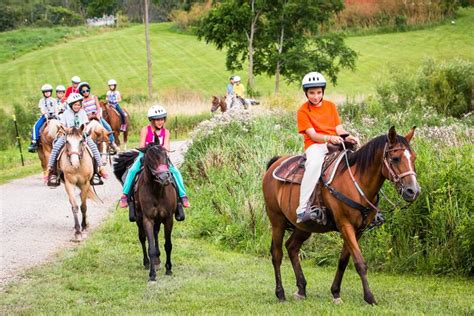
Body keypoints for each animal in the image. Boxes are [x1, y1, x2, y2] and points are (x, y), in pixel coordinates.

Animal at [113, 143, 178, 282]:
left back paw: (158, 261)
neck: (157, 191)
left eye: (165, 156)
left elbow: (168, 244)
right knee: (143, 238)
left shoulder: (168, 219)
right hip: (140, 219)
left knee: (155, 234)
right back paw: (147, 262)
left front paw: (168, 269)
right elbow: (150, 248)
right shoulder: (147, 219)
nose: (165, 177)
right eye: (150, 159)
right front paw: (152, 274)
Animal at [262, 126, 422, 304]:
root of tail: (276, 163)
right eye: (395, 158)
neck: (357, 182)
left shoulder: (358, 230)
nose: (413, 191)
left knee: (292, 247)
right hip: (277, 221)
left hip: (304, 226)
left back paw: (301, 289)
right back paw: (280, 293)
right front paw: (370, 297)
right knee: (277, 254)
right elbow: (359, 261)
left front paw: (336, 293)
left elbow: (344, 260)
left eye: (414, 157)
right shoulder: (345, 225)